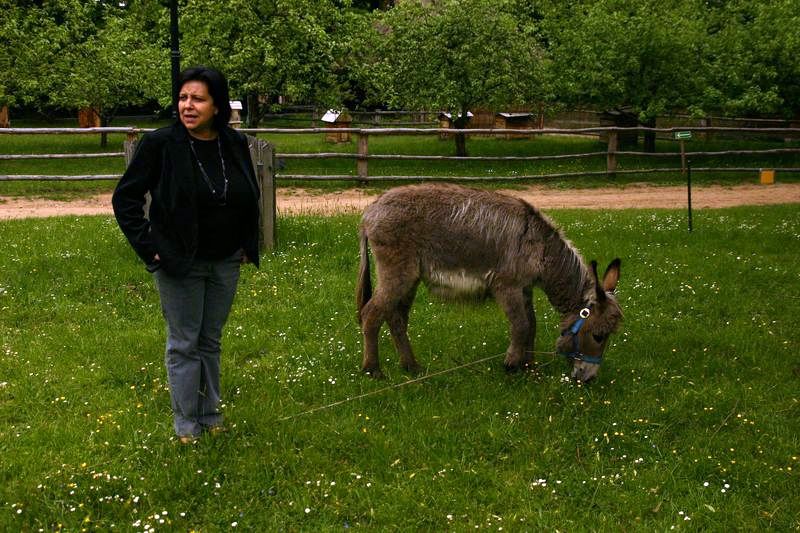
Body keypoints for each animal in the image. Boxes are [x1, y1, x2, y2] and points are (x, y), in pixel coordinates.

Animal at [356, 184, 622, 383]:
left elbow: (532, 324)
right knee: (371, 314)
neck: (542, 248)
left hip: (410, 278)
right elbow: (521, 325)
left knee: (396, 317)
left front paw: (530, 366)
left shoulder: (524, 288)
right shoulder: (507, 286)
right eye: (599, 336)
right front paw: (512, 365)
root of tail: (370, 211)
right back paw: (373, 370)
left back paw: (411, 366)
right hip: (397, 272)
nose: (588, 379)